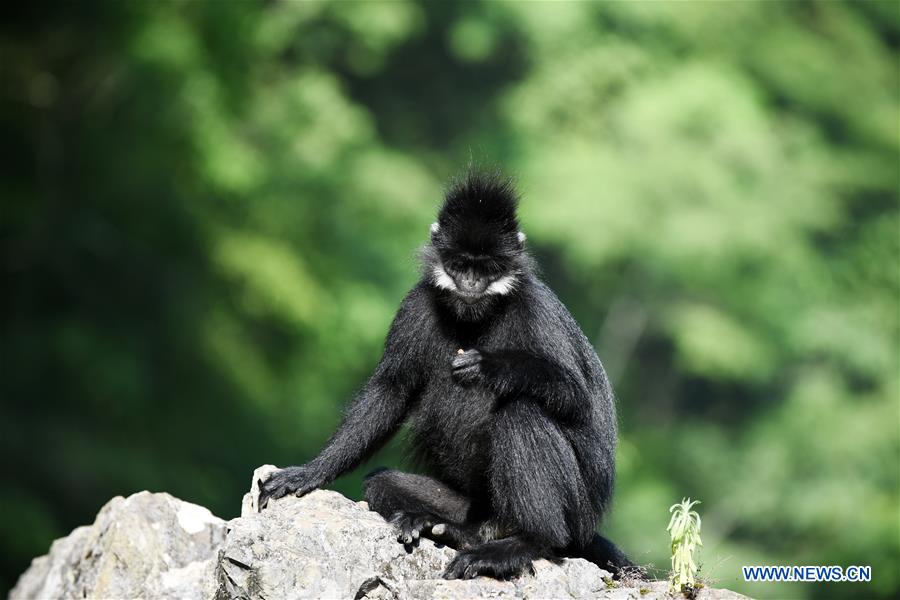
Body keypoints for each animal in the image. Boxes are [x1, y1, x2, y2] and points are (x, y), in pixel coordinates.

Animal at [258, 169, 632, 580]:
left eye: (486, 269)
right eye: (460, 265)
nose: (470, 283)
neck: (475, 317)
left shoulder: (536, 309)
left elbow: (576, 397)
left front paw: (492, 366)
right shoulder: (416, 303)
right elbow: (391, 391)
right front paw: (310, 472)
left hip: (575, 512)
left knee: (522, 411)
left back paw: (524, 542)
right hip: (466, 504)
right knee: (382, 482)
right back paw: (440, 526)